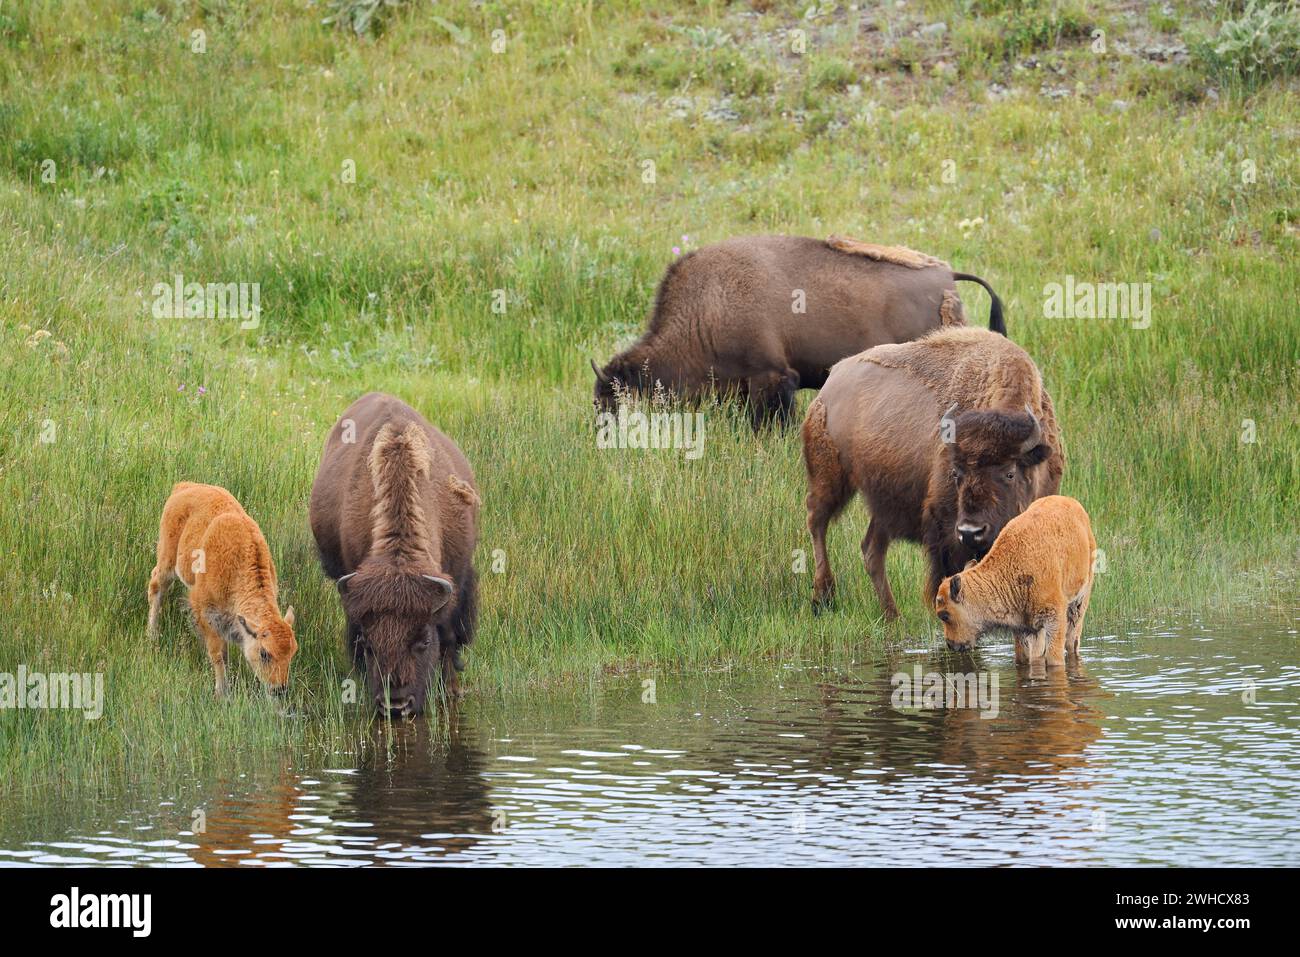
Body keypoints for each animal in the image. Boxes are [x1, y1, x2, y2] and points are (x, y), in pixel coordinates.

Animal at [147, 486, 297, 696]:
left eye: (293, 653)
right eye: (264, 653)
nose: (279, 689)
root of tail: (183, 487)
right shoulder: (206, 613)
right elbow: (218, 653)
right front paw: (222, 691)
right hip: (167, 561)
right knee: (156, 587)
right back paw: (152, 635)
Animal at [800, 325, 1066, 616]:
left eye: (1010, 473)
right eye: (956, 473)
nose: (971, 531)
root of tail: (831, 381)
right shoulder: (946, 529)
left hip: (883, 502)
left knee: (872, 550)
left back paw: (892, 616)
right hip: (830, 478)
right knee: (817, 520)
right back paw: (822, 595)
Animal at [935, 494, 1097, 665]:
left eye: (944, 615)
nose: (951, 644)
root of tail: (1074, 504)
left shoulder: (1054, 617)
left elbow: (1054, 657)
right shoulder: (1023, 628)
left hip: (1079, 603)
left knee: (1072, 642)